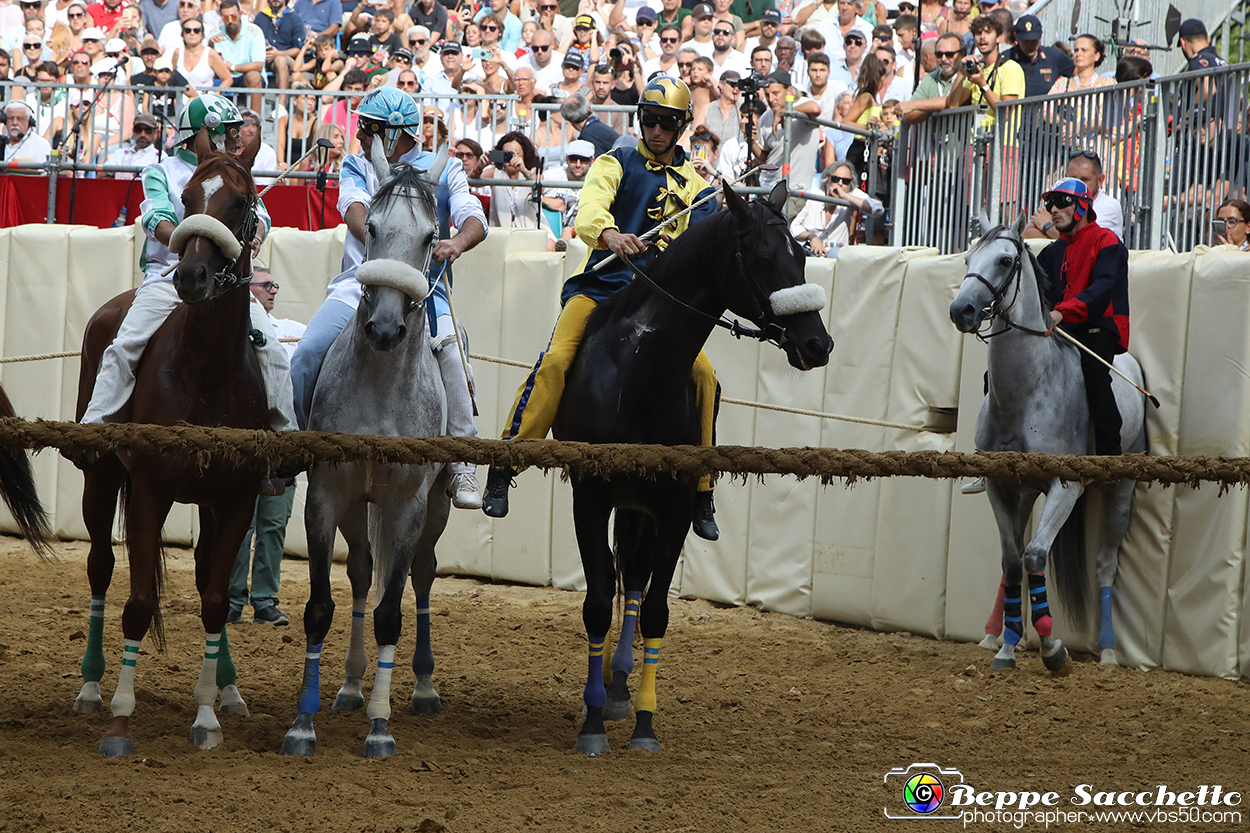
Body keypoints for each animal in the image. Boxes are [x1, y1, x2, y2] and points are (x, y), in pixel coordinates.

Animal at [70, 128, 268, 750]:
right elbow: (137, 603)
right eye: (185, 197)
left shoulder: (236, 499)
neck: (206, 372)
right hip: (102, 477)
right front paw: (121, 717)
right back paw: (91, 687)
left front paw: (206, 716)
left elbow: (215, 600)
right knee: (100, 567)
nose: (191, 278)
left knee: (207, 578)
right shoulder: (151, 492)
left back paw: (230, 691)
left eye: (240, 201)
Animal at [280, 144, 455, 760]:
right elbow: (320, 607)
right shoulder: (328, 496)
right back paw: (352, 686)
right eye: (372, 227)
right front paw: (302, 723)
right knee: (358, 573)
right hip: (358, 505)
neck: (380, 385)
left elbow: (390, 614)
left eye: (432, 235)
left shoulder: (407, 507)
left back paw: (423, 689)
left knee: (422, 576)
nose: (383, 327)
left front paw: (381, 728)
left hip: (436, 507)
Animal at [555, 181, 830, 750]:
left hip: (641, 508)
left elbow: (656, 609)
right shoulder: (589, 498)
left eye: (800, 255)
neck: (640, 375)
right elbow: (596, 603)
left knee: (635, 577)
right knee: (617, 578)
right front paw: (592, 723)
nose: (818, 343)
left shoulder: (676, 507)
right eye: (765, 258)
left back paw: (619, 684)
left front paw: (643, 723)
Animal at [945, 212, 1145, 670]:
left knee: (1104, 565)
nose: (962, 310)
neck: (1026, 392)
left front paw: (1052, 646)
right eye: (967, 257)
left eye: (1005, 260)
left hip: (1122, 491)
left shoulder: (1064, 488)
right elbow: (1011, 561)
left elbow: (1035, 555)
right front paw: (1007, 645)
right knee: (1015, 557)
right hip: (1022, 495)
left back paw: (1108, 649)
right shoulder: (1000, 486)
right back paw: (998, 636)